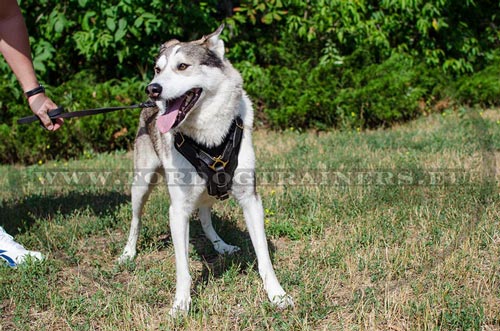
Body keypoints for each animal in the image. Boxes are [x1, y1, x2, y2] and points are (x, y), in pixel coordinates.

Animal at [118, 24, 292, 316]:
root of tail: (146, 107)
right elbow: (183, 268)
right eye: (157, 69)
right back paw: (129, 253)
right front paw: (181, 304)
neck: (209, 136)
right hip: (141, 184)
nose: (153, 88)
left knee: (205, 215)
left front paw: (276, 294)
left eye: (182, 66)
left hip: (208, 192)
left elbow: (264, 256)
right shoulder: (177, 209)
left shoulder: (251, 199)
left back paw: (220, 244)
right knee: (135, 220)